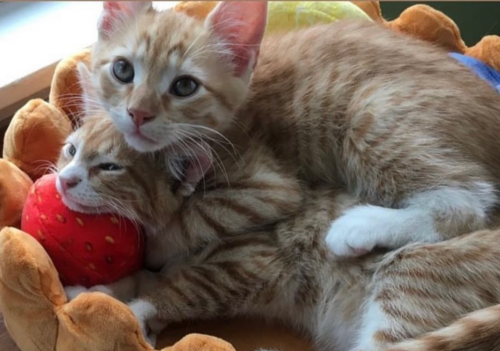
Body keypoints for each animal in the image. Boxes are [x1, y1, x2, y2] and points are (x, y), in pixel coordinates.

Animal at [83, 1, 500, 260]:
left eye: (184, 86)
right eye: (122, 70)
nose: (138, 113)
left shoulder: (270, 185)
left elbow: (195, 217)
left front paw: (153, 252)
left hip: (372, 112)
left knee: (467, 202)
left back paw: (359, 227)